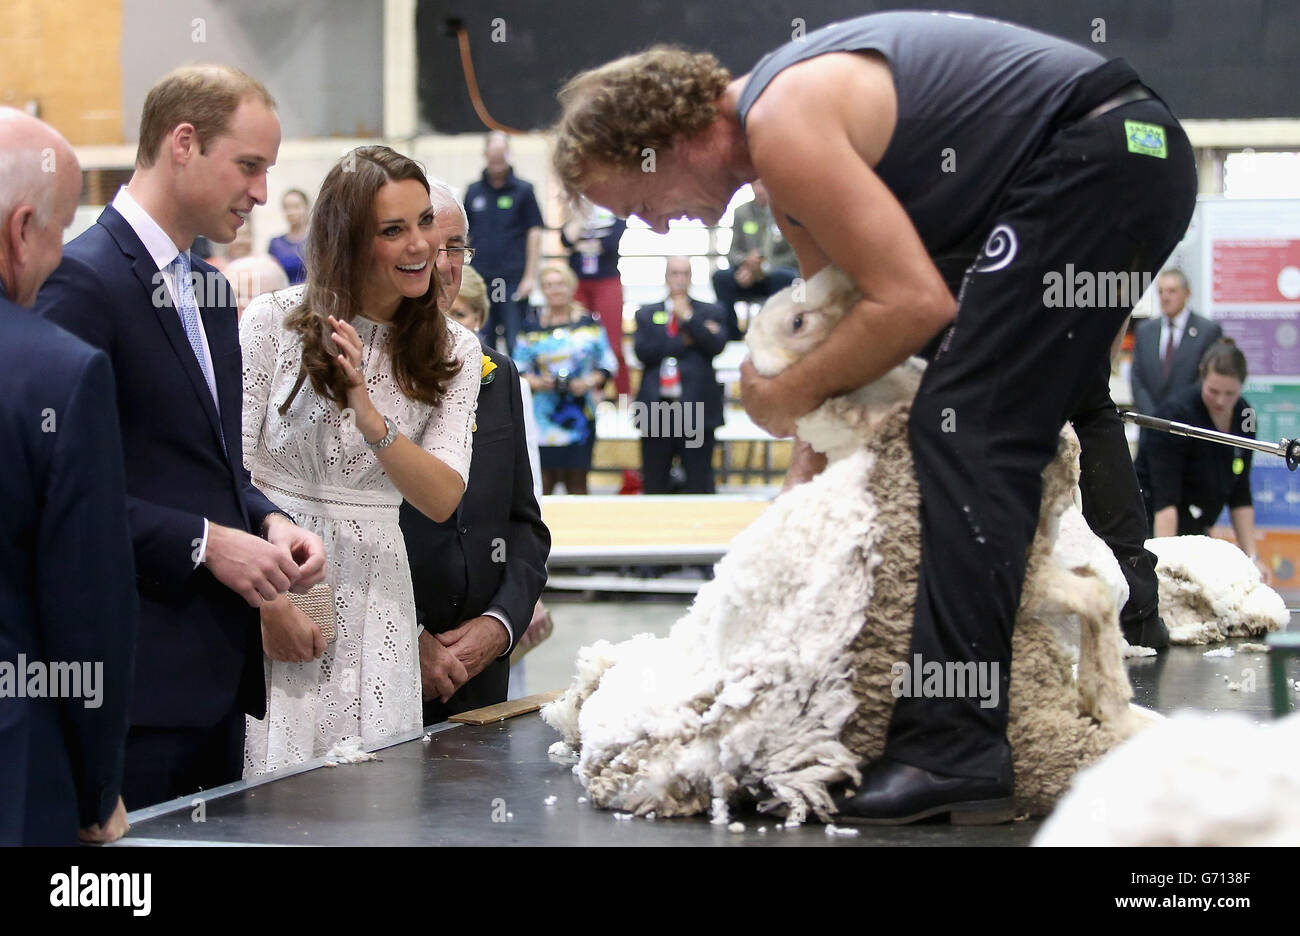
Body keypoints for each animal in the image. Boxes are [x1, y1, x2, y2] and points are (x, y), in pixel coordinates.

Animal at [543, 266, 1144, 821]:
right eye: (798, 321)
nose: (845, 275)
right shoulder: (1012, 573)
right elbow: (1088, 600)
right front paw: (1112, 702)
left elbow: (1092, 597)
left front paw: (1110, 696)